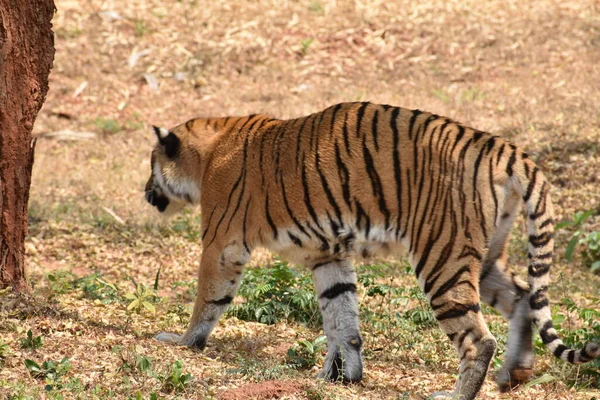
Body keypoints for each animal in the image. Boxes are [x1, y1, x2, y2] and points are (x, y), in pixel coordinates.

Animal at [145, 101, 600, 398]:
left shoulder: (222, 244)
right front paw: (342, 375)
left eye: (151, 165)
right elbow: (340, 316)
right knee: (522, 297)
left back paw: (456, 395)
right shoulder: (327, 255)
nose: (146, 191)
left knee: (479, 339)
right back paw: (515, 374)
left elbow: (208, 299)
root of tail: (501, 147)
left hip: (442, 257)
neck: (207, 151)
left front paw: (181, 341)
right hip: (484, 258)